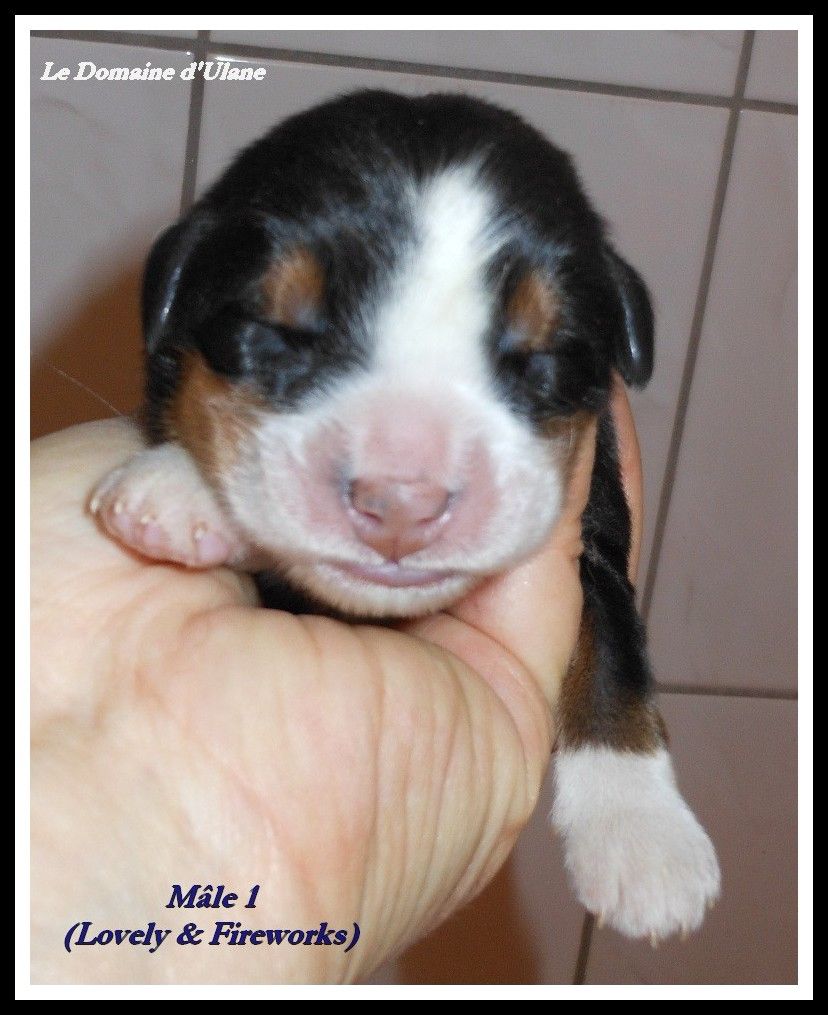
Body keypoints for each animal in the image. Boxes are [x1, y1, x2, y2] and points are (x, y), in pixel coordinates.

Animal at [89, 90, 720, 941]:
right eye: (277, 332)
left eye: (542, 357)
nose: (401, 503)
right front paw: (179, 486)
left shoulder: (597, 521)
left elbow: (613, 649)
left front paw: (645, 842)